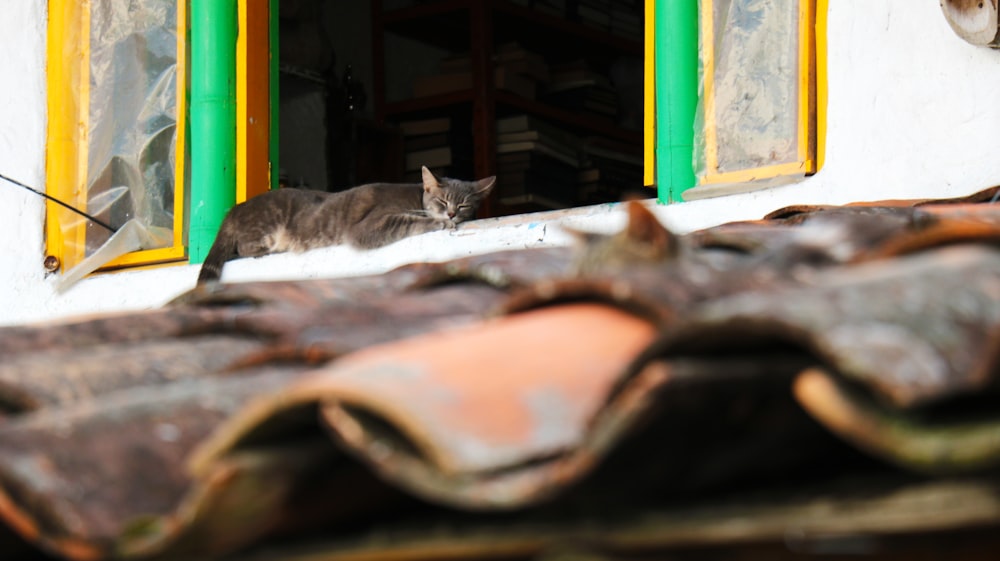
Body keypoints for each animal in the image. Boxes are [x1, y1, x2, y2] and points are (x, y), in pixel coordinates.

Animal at [196, 164, 496, 282]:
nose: (452, 215)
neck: (416, 196)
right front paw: (440, 224)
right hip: (268, 226)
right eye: (443, 202)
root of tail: (235, 209)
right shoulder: (367, 228)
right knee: (243, 247)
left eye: (464, 205)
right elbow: (411, 222)